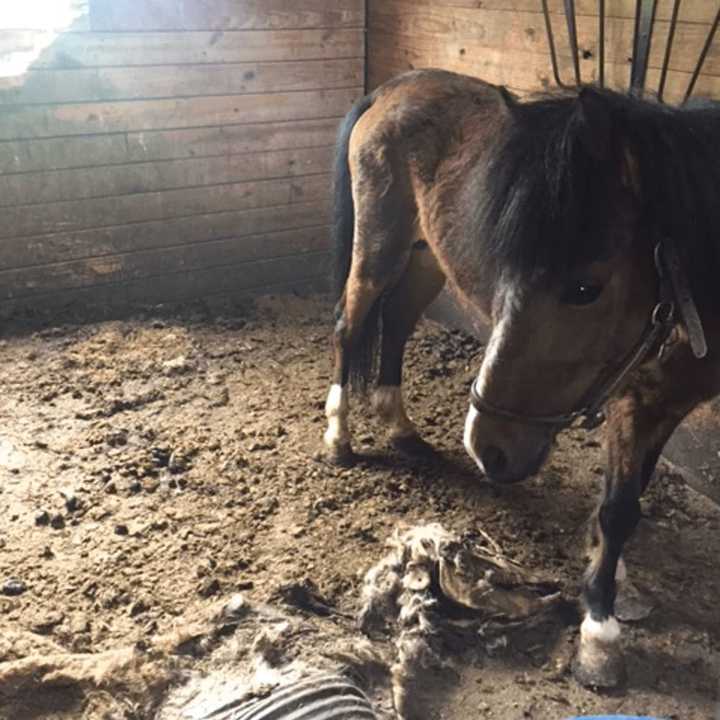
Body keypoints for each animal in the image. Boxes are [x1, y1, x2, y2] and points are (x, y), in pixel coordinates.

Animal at [324, 70, 720, 688]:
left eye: (584, 288)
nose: (488, 448)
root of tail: (393, 88)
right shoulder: (634, 396)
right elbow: (619, 506)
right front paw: (599, 632)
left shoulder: (664, 398)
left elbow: (633, 490)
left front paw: (610, 573)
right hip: (379, 248)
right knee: (351, 324)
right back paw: (339, 436)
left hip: (426, 255)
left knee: (398, 325)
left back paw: (402, 431)